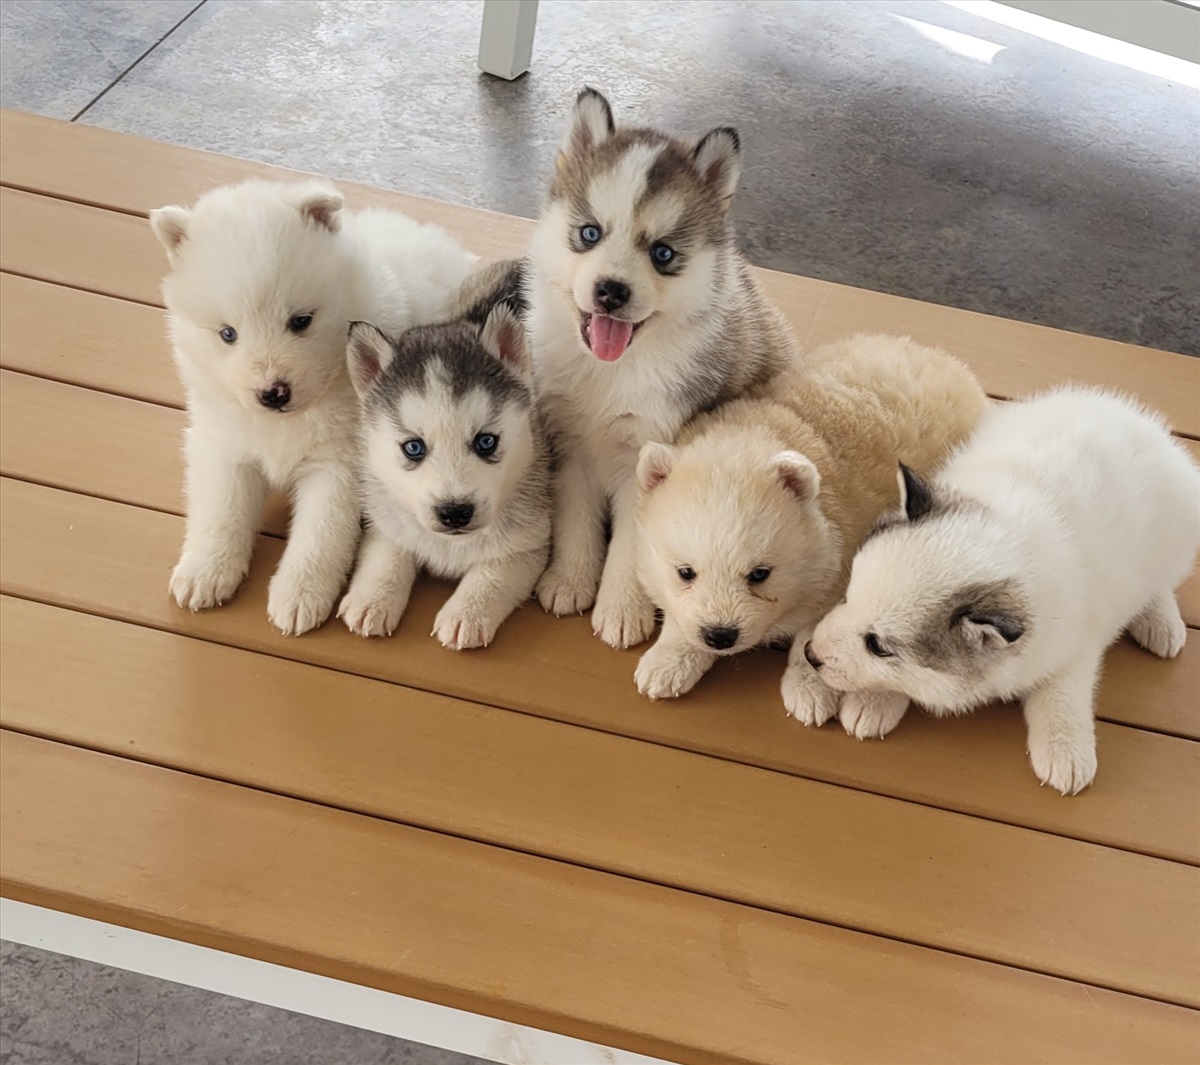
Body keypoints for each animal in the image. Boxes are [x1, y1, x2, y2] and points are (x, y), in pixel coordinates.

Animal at [153, 178, 477, 638]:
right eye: (227, 334)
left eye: (301, 321)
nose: (273, 392)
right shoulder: (224, 444)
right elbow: (221, 509)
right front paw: (206, 571)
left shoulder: (340, 465)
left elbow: (320, 535)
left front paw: (300, 596)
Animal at [338, 262, 552, 652]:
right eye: (413, 447)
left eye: (486, 442)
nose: (454, 512)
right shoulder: (386, 522)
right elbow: (387, 555)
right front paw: (372, 598)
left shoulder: (529, 544)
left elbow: (493, 574)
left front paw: (467, 613)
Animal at [525, 85, 796, 647]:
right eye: (589, 233)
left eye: (663, 253)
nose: (611, 290)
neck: (612, 370)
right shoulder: (569, 443)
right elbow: (576, 521)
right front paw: (570, 580)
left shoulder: (647, 454)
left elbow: (633, 545)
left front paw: (622, 608)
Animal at [633, 331, 988, 724]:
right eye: (685, 572)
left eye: (760, 574)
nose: (721, 635)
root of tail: (947, 361)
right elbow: (679, 617)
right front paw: (669, 661)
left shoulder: (838, 569)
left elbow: (811, 636)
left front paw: (811, 690)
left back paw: (874, 705)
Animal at [806, 386, 1200, 796]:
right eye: (848, 595)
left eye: (878, 646)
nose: (810, 654)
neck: (1008, 544)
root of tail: (1140, 421)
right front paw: (875, 700)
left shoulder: (1075, 644)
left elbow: (1062, 690)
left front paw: (1064, 750)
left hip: (1177, 538)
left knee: (1161, 581)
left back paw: (1160, 621)